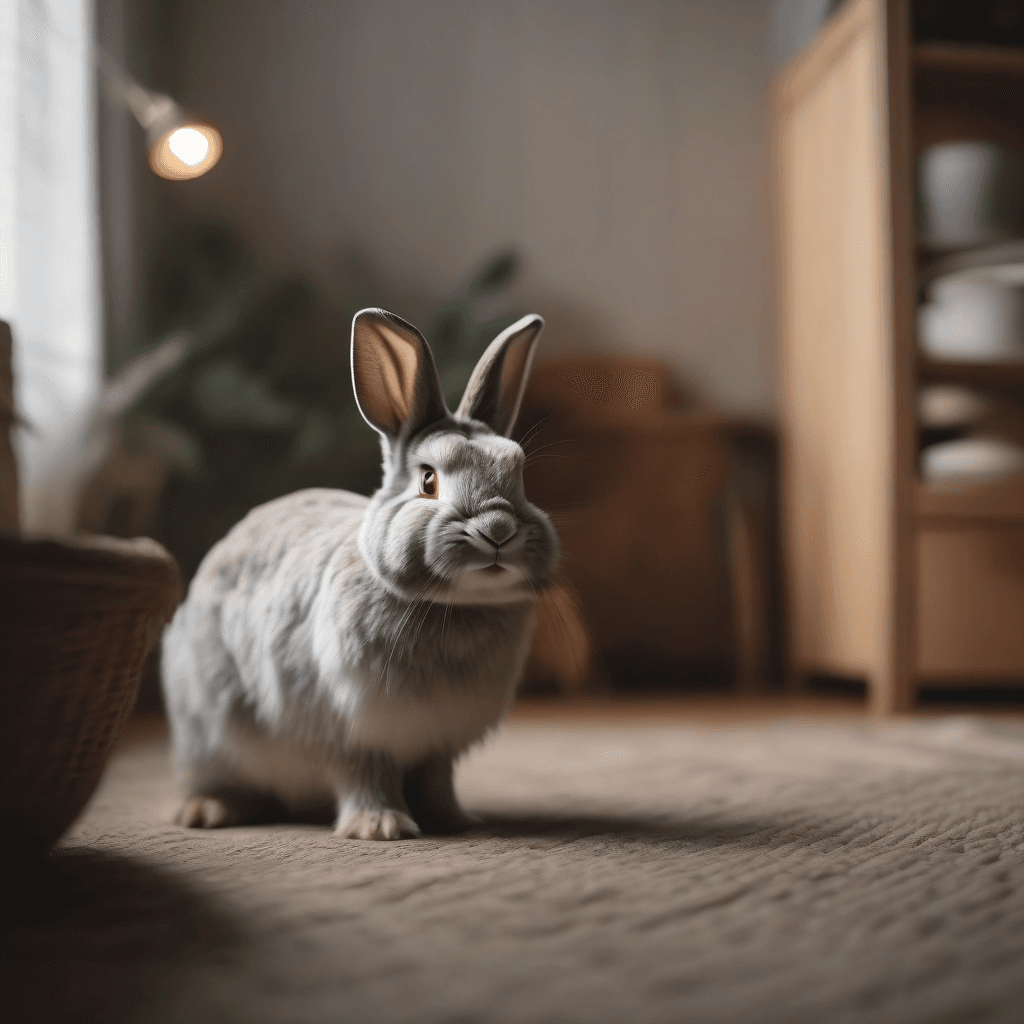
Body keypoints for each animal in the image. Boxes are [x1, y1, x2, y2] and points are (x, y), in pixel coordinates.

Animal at [161, 308, 559, 840]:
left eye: (519, 476)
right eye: (428, 481)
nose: (497, 530)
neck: (453, 606)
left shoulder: (436, 743)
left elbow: (435, 780)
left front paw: (454, 820)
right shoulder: (351, 732)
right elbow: (365, 775)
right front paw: (381, 827)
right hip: (207, 732)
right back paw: (205, 811)